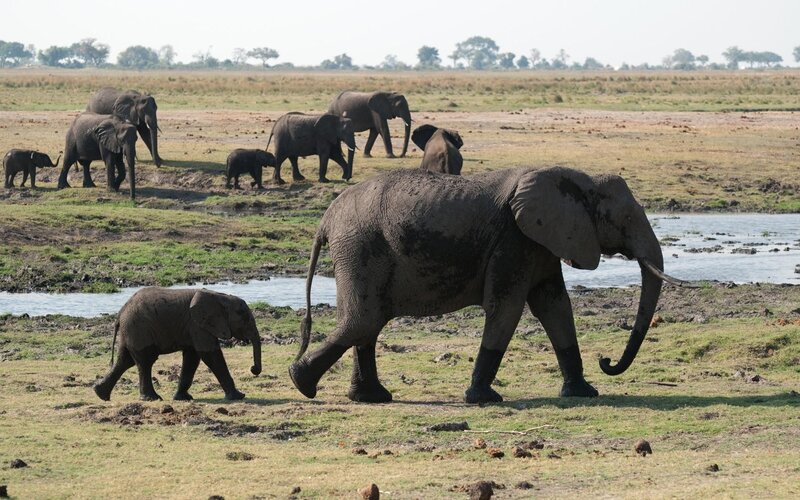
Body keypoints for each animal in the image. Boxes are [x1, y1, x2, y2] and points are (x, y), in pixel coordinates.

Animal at [93, 287, 262, 402]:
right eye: (245, 319)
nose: (253, 369)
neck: (221, 296)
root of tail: (120, 313)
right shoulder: (197, 325)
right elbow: (210, 354)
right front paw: (239, 397)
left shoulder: (194, 326)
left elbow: (192, 358)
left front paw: (183, 398)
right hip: (138, 329)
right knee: (145, 361)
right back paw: (152, 398)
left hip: (131, 331)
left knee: (125, 360)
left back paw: (100, 394)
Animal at [289, 166, 685, 404]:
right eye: (626, 218)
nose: (606, 361)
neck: (577, 179)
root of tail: (326, 218)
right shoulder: (514, 239)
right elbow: (507, 308)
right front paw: (483, 398)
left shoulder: (540, 241)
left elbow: (555, 306)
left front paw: (584, 393)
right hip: (361, 247)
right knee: (365, 319)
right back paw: (302, 383)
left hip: (358, 250)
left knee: (366, 322)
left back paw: (370, 397)